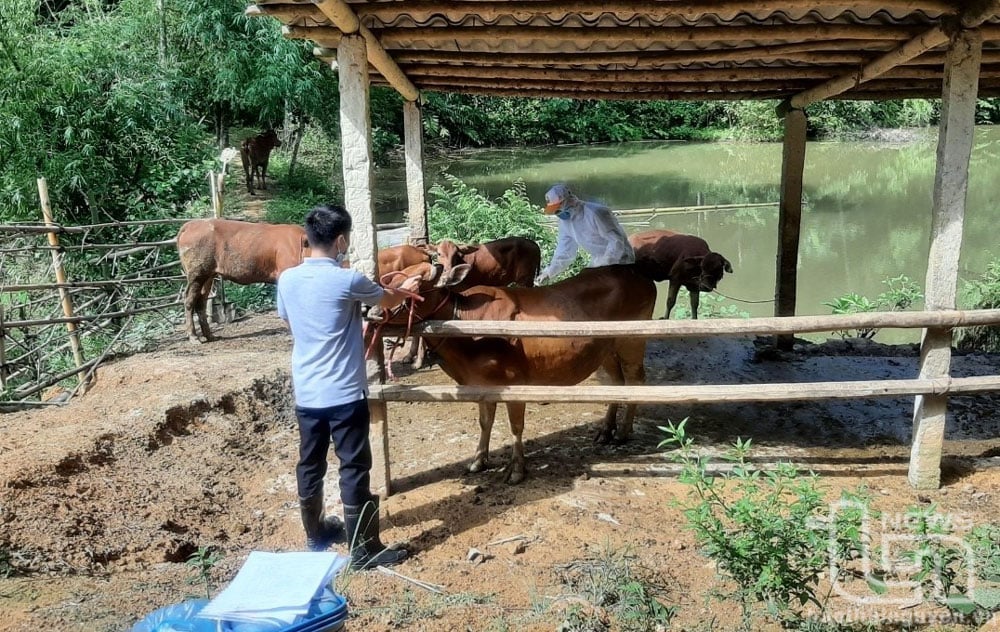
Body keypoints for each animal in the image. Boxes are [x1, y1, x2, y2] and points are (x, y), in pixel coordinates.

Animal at [177, 218, 308, 346]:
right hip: (197, 273)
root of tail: (191, 224)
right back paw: (194, 337)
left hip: (208, 275)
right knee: (189, 300)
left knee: (201, 301)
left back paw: (210, 336)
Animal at [368, 262, 656, 484]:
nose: (371, 310)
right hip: (606, 349)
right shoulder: (481, 385)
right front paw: (478, 460)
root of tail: (638, 274)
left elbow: (516, 427)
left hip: (632, 341)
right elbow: (485, 422)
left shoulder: (515, 383)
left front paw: (517, 469)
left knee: (636, 381)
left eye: (418, 282)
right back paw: (606, 430)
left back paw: (622, 432)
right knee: (616, 383)